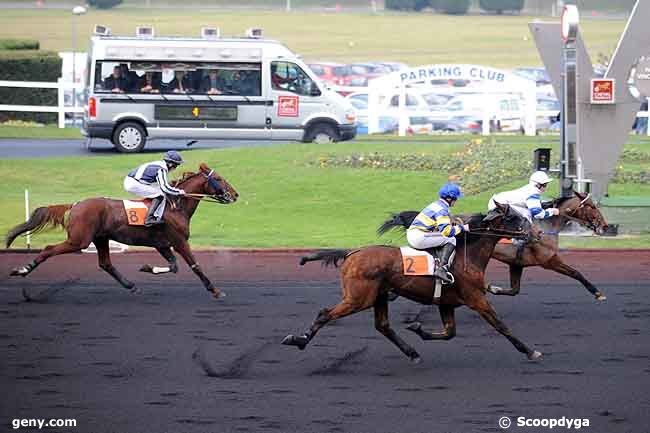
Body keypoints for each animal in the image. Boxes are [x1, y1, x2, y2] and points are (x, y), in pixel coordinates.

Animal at [5, 162, 238, 296]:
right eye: (219, 179)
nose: (235, 195)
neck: (175, 206)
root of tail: (76, 204)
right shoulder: (179, 241)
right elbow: (194, 266)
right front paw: (215, 290)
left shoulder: (162, 244)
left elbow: (173, 267)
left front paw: (147, 268)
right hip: (79, 240)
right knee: (48, 250)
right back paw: (22, 270)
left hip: (100, 238)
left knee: (105, 263)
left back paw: (130, 285)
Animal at [284, 202, 540, 362]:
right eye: (514, 217)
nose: (536, 233)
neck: (468, 255)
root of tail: (351, 253)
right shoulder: (476, 298)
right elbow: (501, 325)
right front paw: (530, 351)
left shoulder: (446, 302)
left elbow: (450, 332)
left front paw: (418, 328)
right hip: (358, 298)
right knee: (325, 314)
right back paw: (299, 340)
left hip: (378, 296)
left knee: (383, 326)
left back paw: (412, 352)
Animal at [378, 191, 612, 302]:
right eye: (592, 206)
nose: (604, 226)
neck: (545, 227)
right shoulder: (549, 260)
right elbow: (576, 273)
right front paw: (598, 293)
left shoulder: (517, 264)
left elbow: (514, 290)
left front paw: (493, 288)